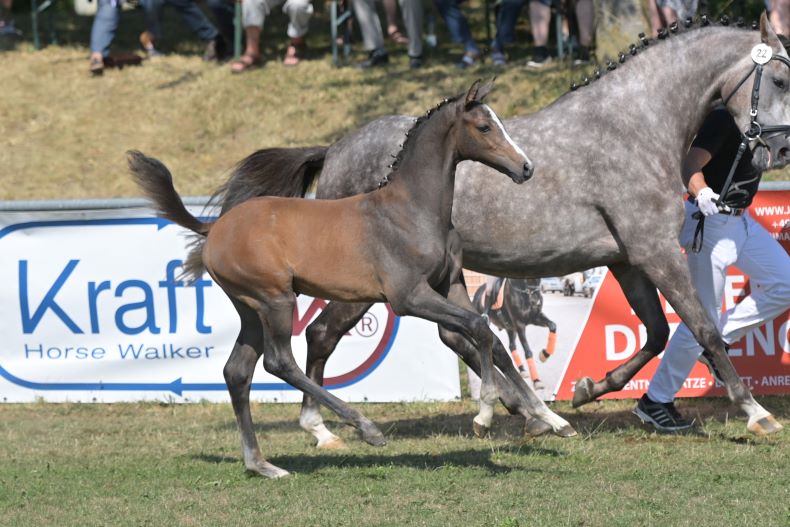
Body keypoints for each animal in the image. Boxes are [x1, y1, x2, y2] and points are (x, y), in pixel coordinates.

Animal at [207, 15, 788, 446]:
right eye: (780, 80)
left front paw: (588, 387)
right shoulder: (654, 252)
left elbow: (658, 333)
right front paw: (756, 413)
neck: (633, 125)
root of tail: (334, 149)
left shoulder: (627, 259)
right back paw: (325, 427)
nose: (780, 150)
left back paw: (529, 410)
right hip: (362, 285)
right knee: (325, 335)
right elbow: (704, 328)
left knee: (457, 333)